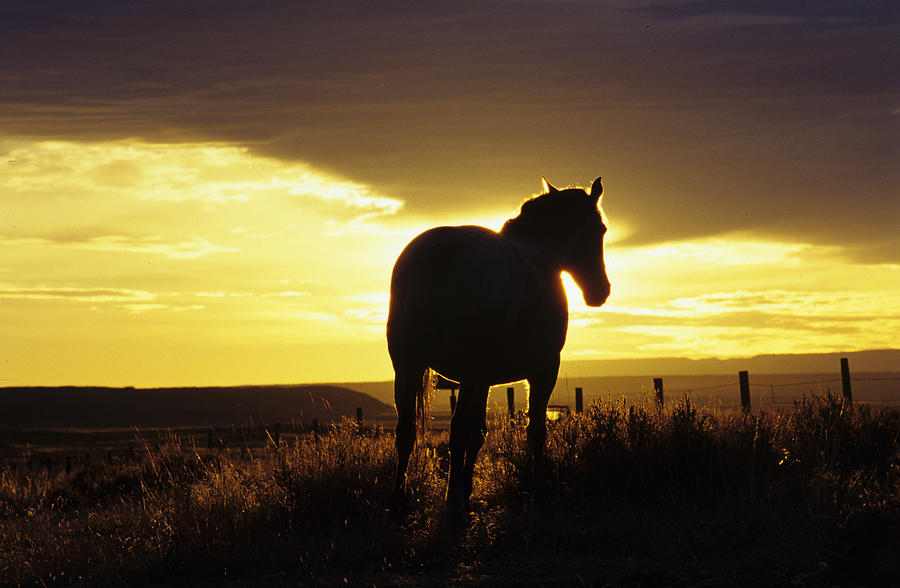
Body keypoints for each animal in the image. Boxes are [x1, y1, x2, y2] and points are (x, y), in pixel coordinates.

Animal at [384, 176, 608, 532]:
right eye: (599, 229)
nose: (600, 291)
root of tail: (433, 259)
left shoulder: (483, 380)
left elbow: (478, 434)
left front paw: (469, 491)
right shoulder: (543, 370)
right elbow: (535, 432)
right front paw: (536, 492)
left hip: (408, 368)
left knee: (406, 433)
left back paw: (398, 504)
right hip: (464, 373)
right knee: (456, 432)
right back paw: (454, 507)